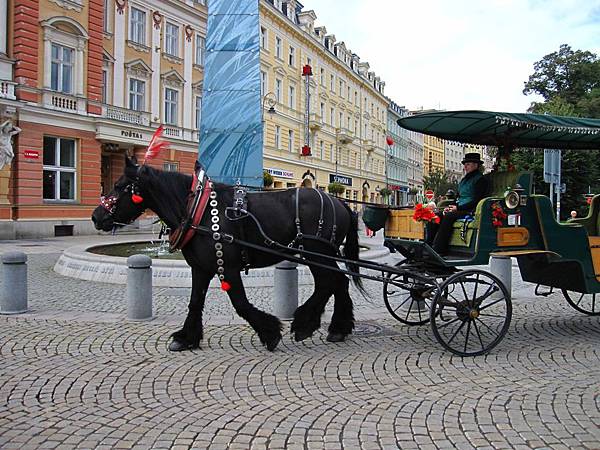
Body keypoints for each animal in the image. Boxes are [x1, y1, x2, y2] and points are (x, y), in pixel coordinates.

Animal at [91, 158, 364, 352]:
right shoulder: (201, 267)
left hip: (317, 253)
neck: (199, 210)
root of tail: (341, 203)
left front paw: (270, 333)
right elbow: (195, 301)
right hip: (322, 254)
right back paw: (338, 328)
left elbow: (240, 303)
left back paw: (304, 324)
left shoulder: (228, 266)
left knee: (329, 282)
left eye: (120, 186)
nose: (96, 217)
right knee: (338, 282)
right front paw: (186, 338)